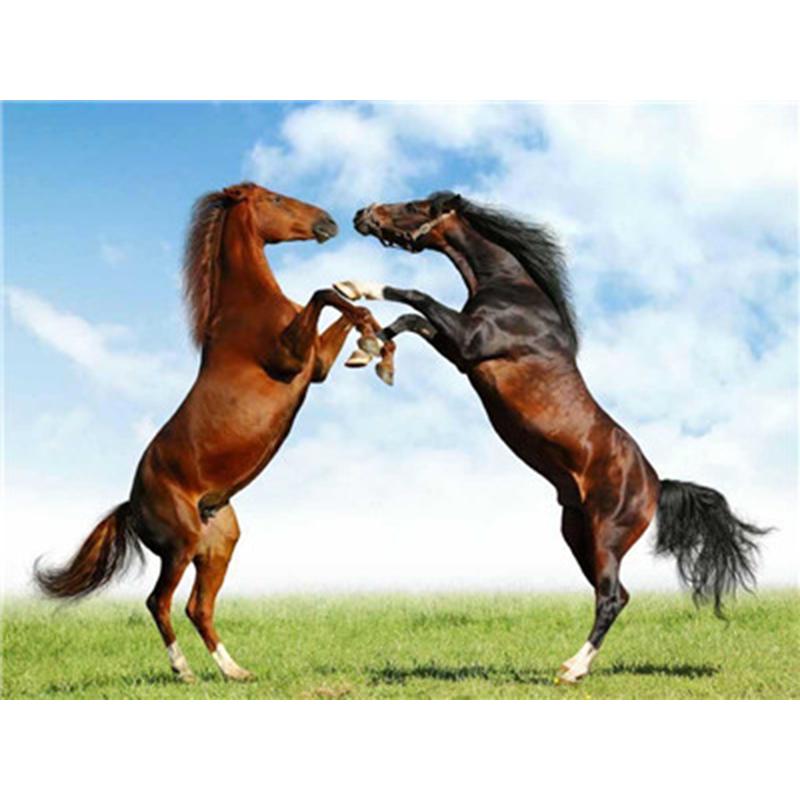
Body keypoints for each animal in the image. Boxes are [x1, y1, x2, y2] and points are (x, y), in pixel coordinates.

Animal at [34, 181, 392, 682]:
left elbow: (338, 304)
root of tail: (132, 504)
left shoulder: (316, 365)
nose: (329, 222)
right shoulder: (292, 358)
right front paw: (369, 338)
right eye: (275, 199)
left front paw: (371, 334)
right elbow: (323, 294)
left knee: (198, 607)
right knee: (159, 602)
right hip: (179, 547)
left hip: (219, 546)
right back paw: (182, 669)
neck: (247, 307)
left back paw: (235, 670)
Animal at [335, 191, 770, 683]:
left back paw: (572, 669)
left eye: (414, 205)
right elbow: (410, 320)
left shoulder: (470, 343)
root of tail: (656, 485)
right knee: (618, 594)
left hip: (606, 535)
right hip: (577, 535)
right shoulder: (459, 351)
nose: (362, 215)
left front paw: (356, 288)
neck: (513, 293)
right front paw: (368, 351)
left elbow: (414, 297)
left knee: (611, 597)